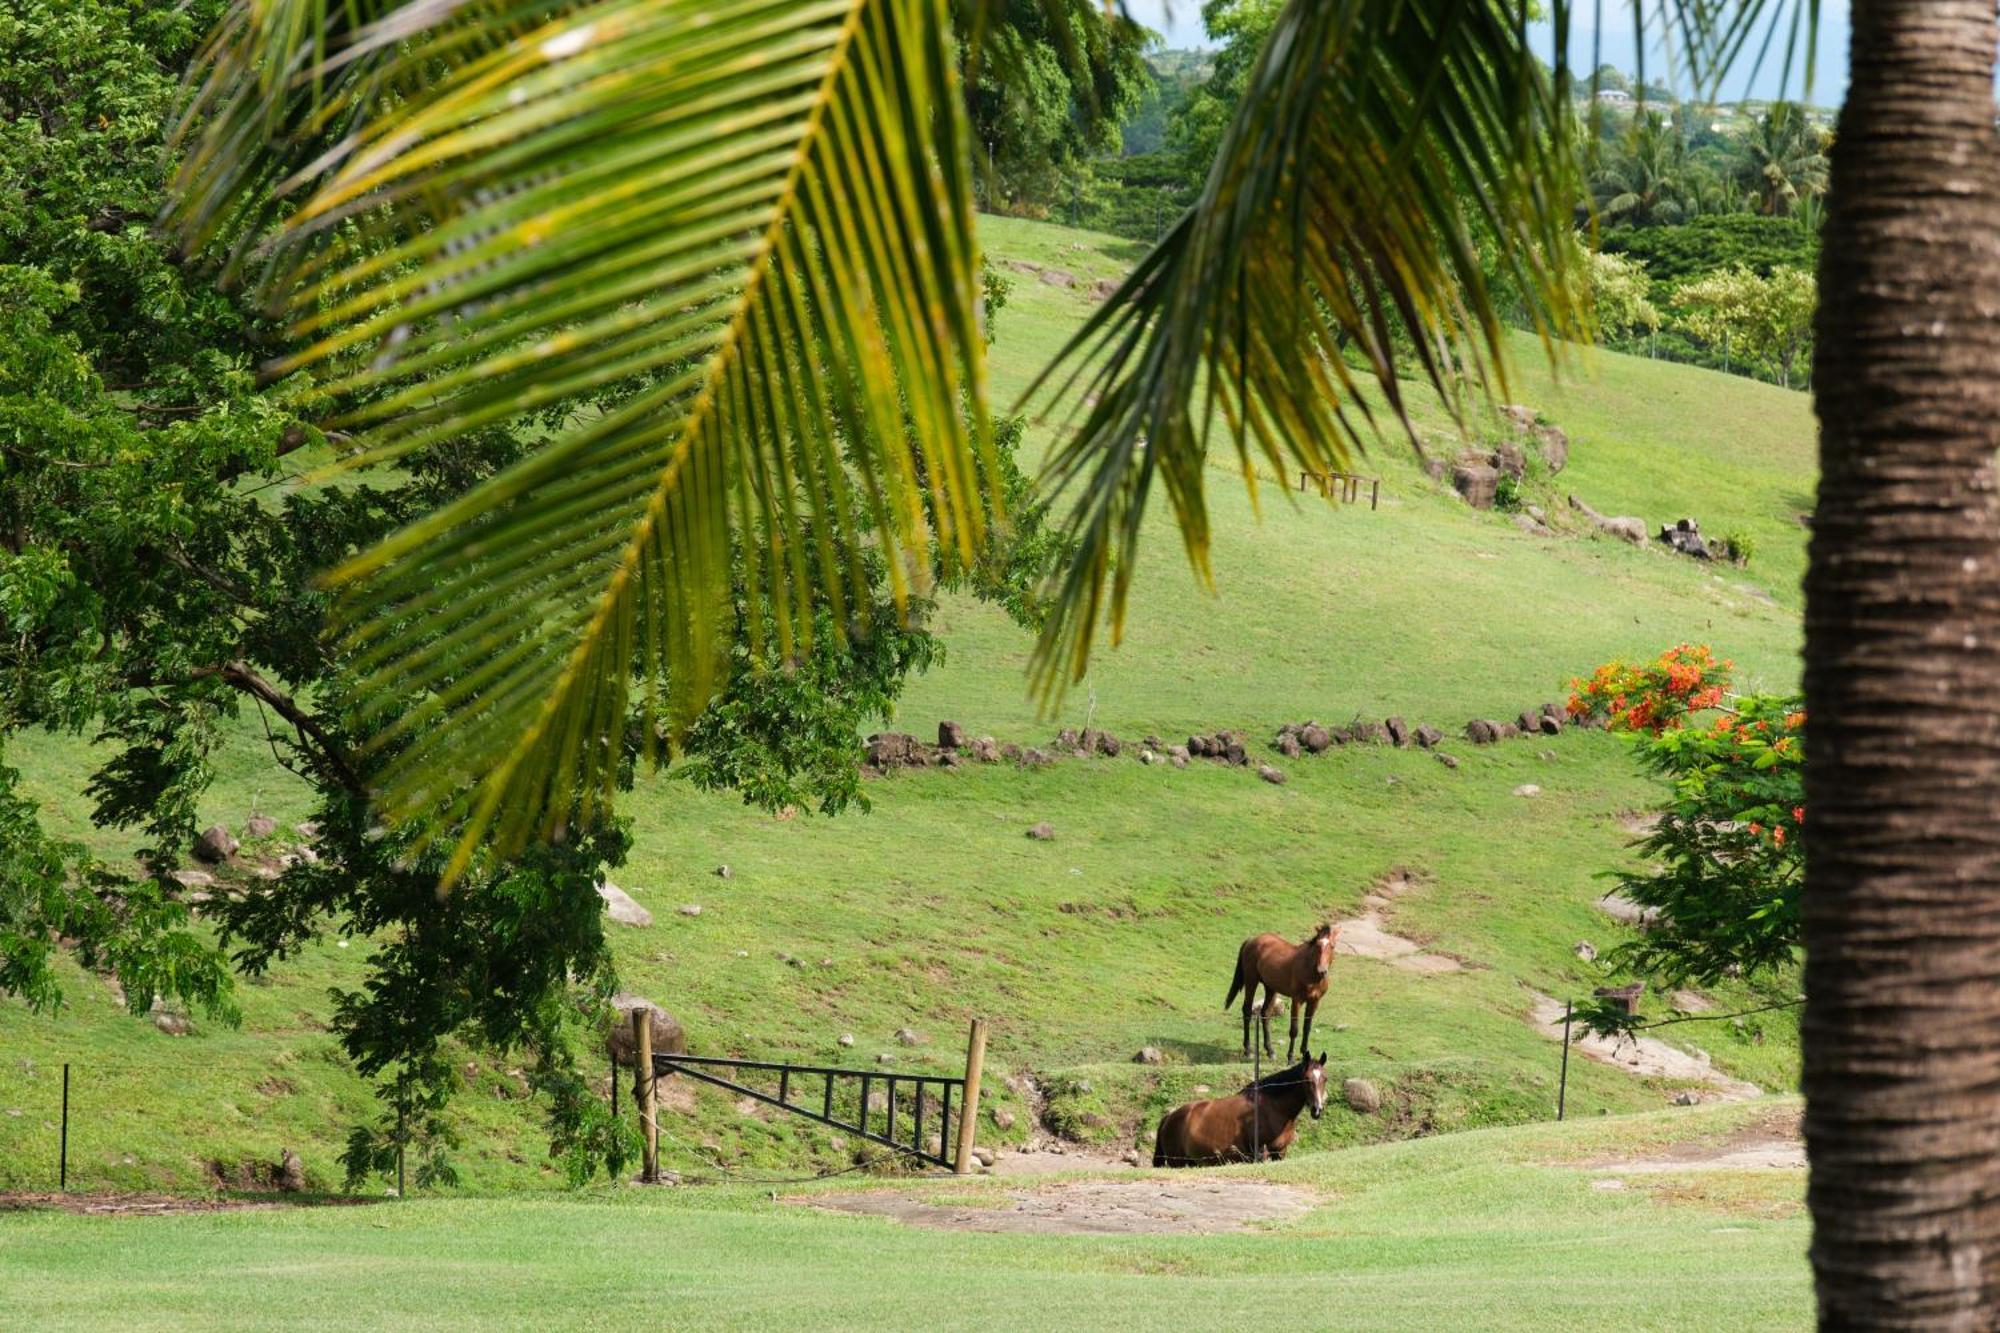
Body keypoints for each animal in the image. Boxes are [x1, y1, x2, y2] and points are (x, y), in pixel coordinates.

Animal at [1160, 1048, 1328, 1160]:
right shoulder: (1260, 1153)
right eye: (1306, 1079)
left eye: (1325, 1078)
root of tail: (1169, 1117)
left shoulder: (1280, 1152)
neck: (1274, 1108)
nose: (1317, 1109)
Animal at [1224, 924, 1336, 1056]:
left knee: (1265, 1013)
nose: (1322, 971)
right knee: (1247, 1010)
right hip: (1251, 981)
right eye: (1318, 945)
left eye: (1332, 946)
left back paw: (1270, 1050)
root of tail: (1252, 940)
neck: (1311, 973)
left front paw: (1304, 1053)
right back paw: (1248, 1050)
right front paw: (1290, 1056)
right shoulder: (1296, 1000)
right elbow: (1294, 1030)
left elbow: (1307, 1028)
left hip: (1270, 988)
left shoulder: (1314, 1001)